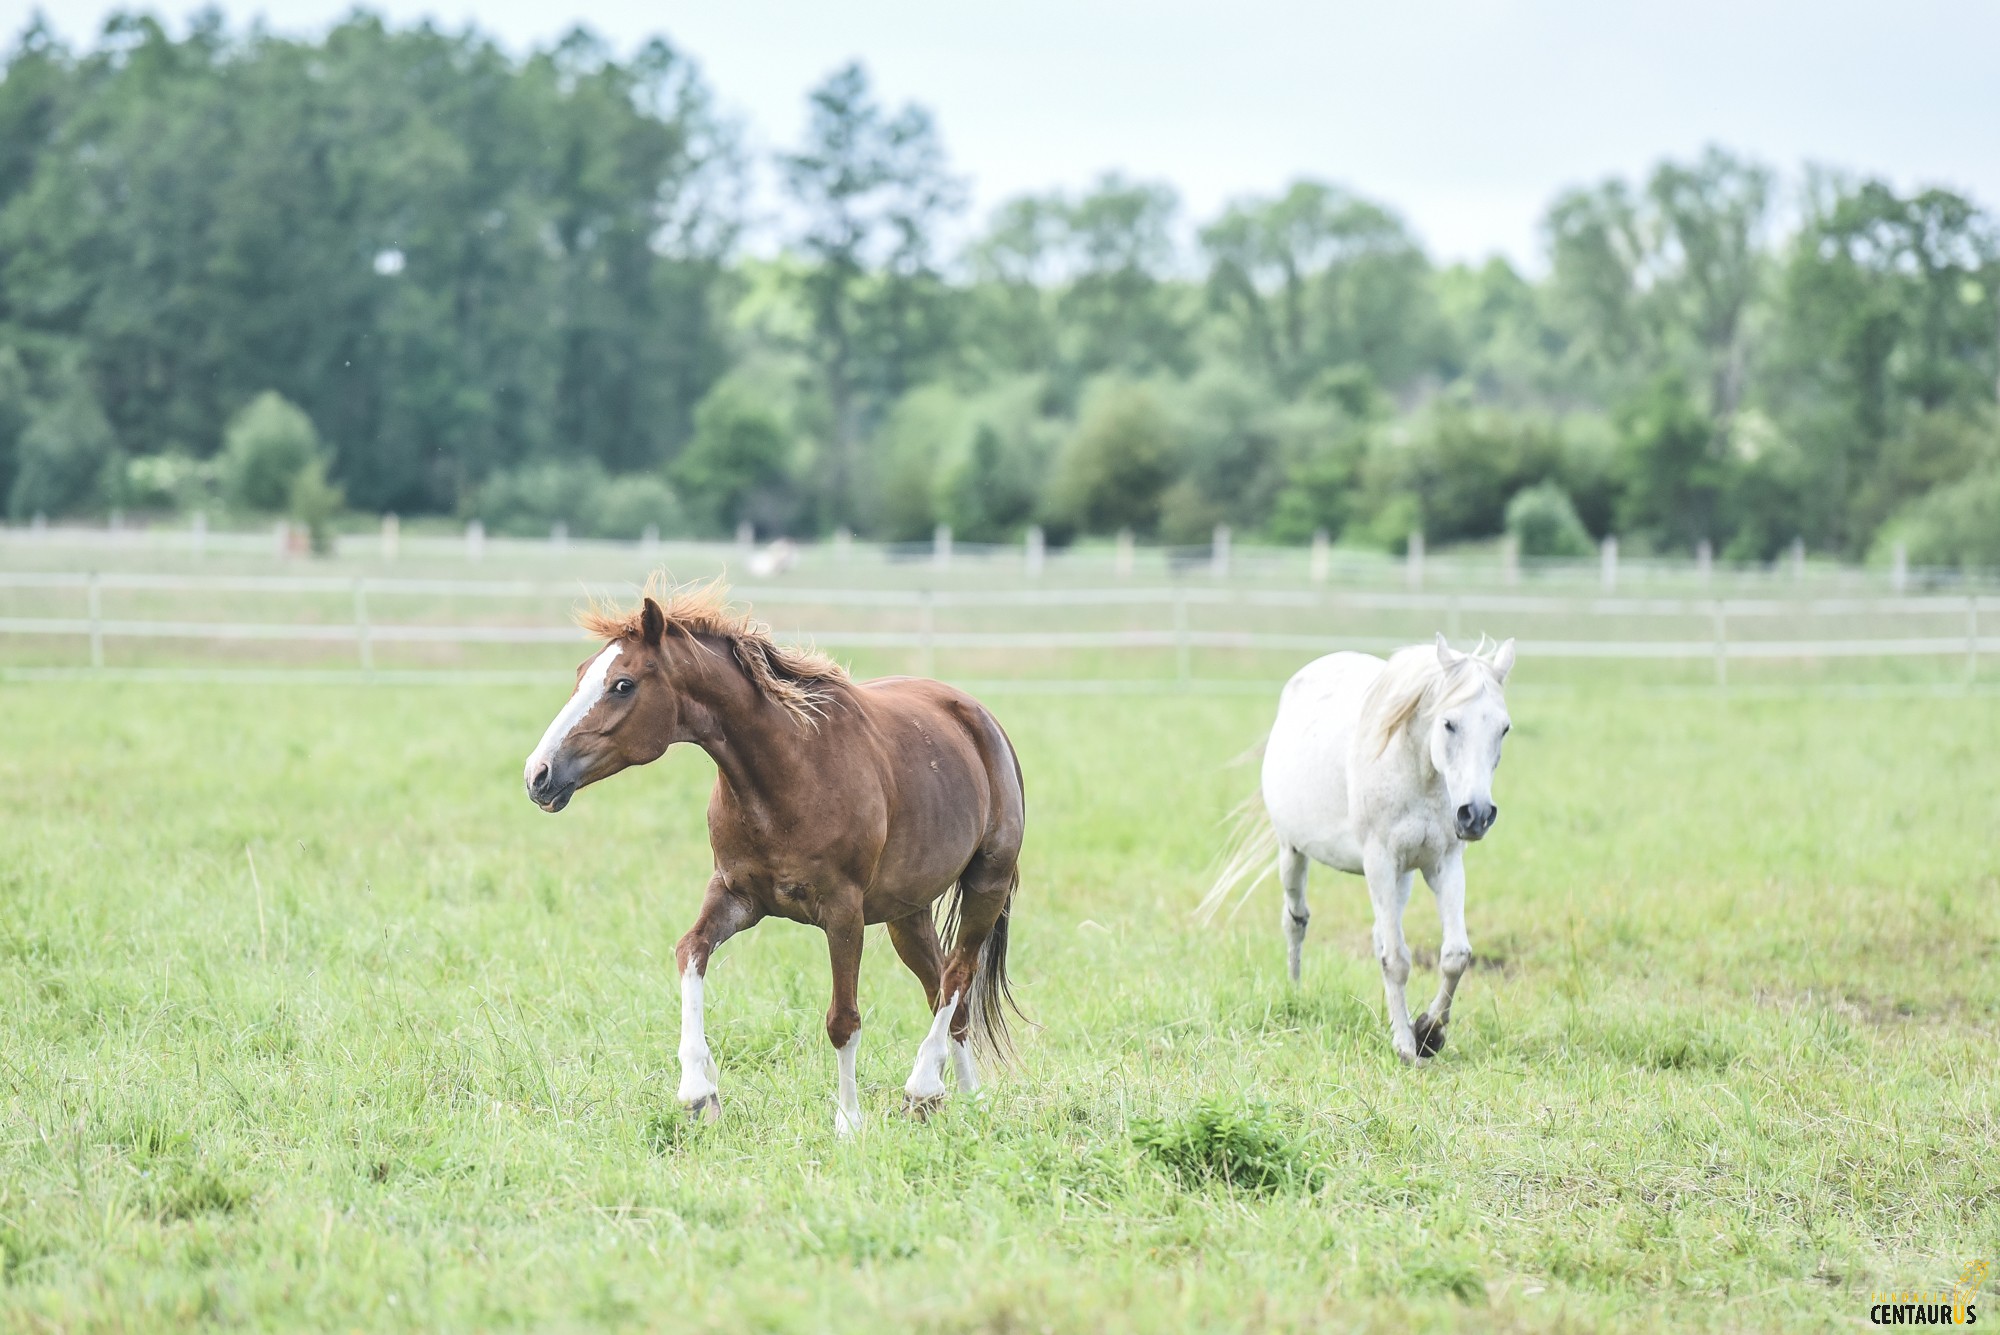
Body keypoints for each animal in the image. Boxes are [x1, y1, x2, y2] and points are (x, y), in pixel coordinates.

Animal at [524, 579, 1024, 1135]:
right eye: (581, 674)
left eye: (623, 685)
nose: (538, 775)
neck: (790, 770)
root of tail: (982, 721)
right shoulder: (736, 896)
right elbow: (690, 953)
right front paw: (698, 1092)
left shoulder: (843, 912)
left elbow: (843, 1019)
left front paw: (848, 1123)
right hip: (906, 914)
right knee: (944, 993)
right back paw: (963, 1099)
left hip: (986, 885)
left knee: (958, 977)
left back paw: (923, 1089)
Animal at [1200, 635, 1512, 1063]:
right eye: (1449, 723)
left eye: (1504, 729)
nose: (1477, 814)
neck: (1417, 775)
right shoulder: (1379, 861)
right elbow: (1396, 960)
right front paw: (1406, 1047)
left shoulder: (1444, 864)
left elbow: (1454, 956)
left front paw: (1428, 1032)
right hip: (1292, 851)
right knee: (1296, 920)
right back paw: (1296, 991)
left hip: (1402, 877)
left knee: (1381, 934)